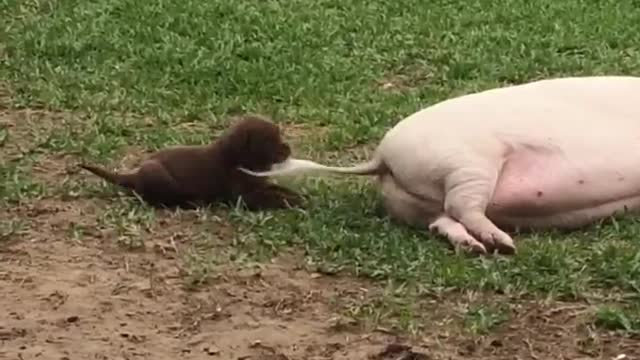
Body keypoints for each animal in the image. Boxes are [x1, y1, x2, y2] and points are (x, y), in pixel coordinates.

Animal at [77, 115, 302, 211]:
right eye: (269, 140)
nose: (288, 148)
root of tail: (134, 174)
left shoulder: (260, 184)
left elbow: (277, 189)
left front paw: (297, 195)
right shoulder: (244, 196)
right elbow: (271, 198)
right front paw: (293, 201)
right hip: (157, 174)